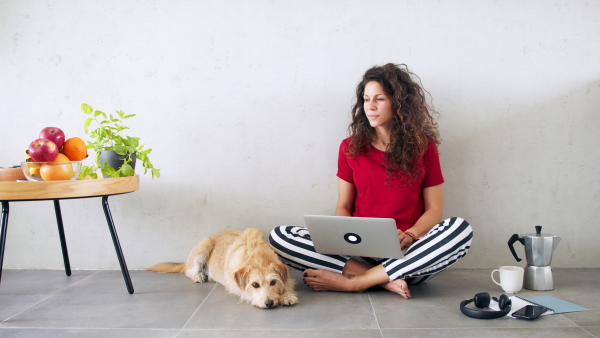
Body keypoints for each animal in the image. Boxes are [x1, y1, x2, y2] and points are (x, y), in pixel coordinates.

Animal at [145, 227, 296, 308]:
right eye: (255, 285)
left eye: (273, 282)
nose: (269, 303)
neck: (257, 258)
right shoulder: (234, 284)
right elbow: (244, 292)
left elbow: (287, 283)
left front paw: (287, 295)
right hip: (203, 247)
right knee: (189, 271)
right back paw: (198, 275)